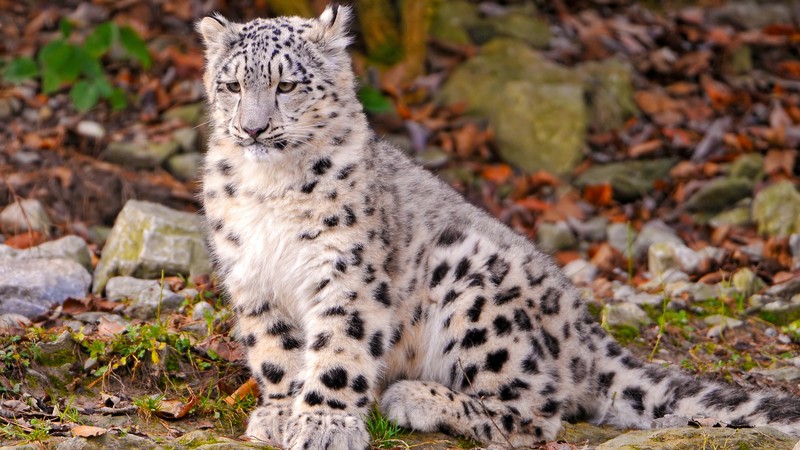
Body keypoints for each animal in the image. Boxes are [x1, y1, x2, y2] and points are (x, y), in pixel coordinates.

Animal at [197, 5, 800, 449]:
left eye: (287, 85)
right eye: (232, 85)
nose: (253, 128)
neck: (270, 189)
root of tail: (583, 326)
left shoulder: (346, 270)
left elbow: (339, 349)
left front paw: (324, 424)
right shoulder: (251, 275)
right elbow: (275, 351)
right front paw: (280, 412)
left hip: (472, 289)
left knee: (537, 410)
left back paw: (415, 400)